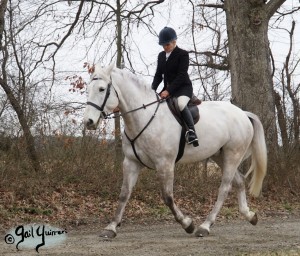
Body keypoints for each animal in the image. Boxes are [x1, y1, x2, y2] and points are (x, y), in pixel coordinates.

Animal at [82, 62, 268, 238]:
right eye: (88, 89)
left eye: (101, 89)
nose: (88, 122)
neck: (144, 117)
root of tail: (243, 114)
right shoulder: (131, 163)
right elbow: (124, 194)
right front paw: (111, 227)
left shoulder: (165, 164)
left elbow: (167, 197)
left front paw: (188, 224)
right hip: (220, 156)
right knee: (239, 181)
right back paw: (249, 215)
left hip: (232, 155)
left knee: (224, 188)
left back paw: (205, 226)